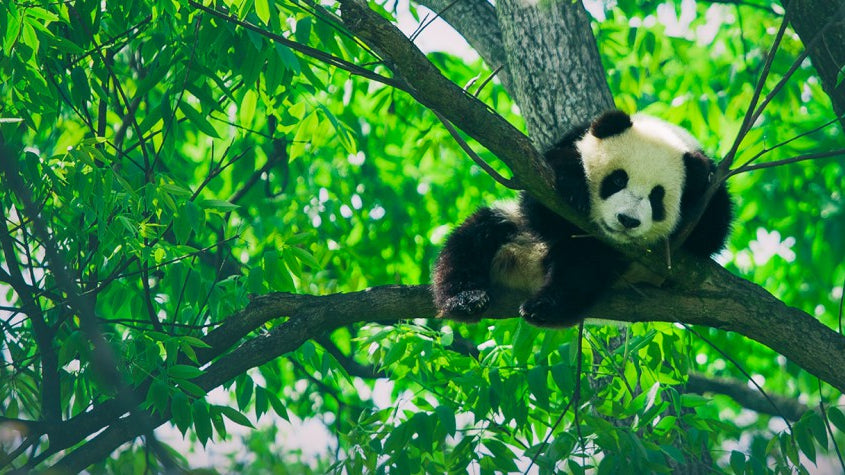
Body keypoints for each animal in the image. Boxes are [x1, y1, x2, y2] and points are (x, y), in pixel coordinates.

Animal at [432, 110, 732, 327]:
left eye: (657, 197)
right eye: (618, 180)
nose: (627, 220)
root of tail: (529, 269)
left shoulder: (711, 188)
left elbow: (711, 233)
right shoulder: (570, 141)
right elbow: (541, 199)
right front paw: (573, 187)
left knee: (581, 270)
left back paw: (543, 307)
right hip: (515, 229)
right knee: (475, 237)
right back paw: (465, 299)